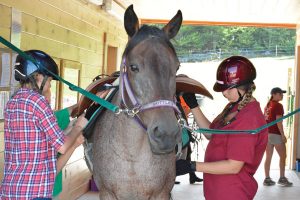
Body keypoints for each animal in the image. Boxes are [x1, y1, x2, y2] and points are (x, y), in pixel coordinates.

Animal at [89, 5, 183, 199]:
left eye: (177, 67)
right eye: (133, 67)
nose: (167, 133)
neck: (132, 158)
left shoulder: (162, 193)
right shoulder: (107, 193)